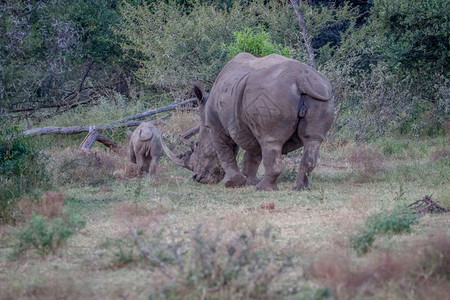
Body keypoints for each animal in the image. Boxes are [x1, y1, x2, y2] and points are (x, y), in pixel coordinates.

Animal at [163, 52, 332, 190]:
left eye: (196, 145)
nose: (197, 178)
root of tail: (302, 79)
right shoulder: (247, 125)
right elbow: (252, 155)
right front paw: (249, 181)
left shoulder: (216, 127)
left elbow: (225, 153)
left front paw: (234, 183)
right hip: (319, 92)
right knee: (312, 140)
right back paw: (299, 188)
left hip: (272, 94)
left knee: (271, 140)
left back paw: (263, 189)